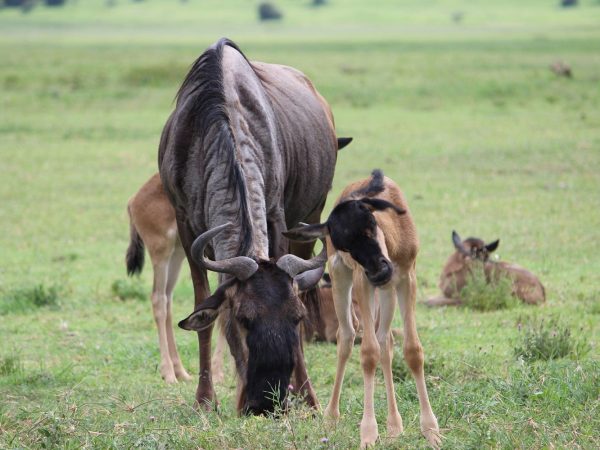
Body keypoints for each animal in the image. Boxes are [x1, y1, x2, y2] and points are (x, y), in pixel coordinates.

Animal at [286, 171, 440, 448]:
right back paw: (331, 417)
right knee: (347, 338)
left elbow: (412, 349)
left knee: (385, 340)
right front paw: (368, 433)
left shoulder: (406, 277)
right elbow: (368, 352)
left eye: (370, 226)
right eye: (345, 245)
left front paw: (431, 430)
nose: (379, 272)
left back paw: (394, 425)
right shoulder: (362, 280)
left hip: (387, 292)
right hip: (342, 278)